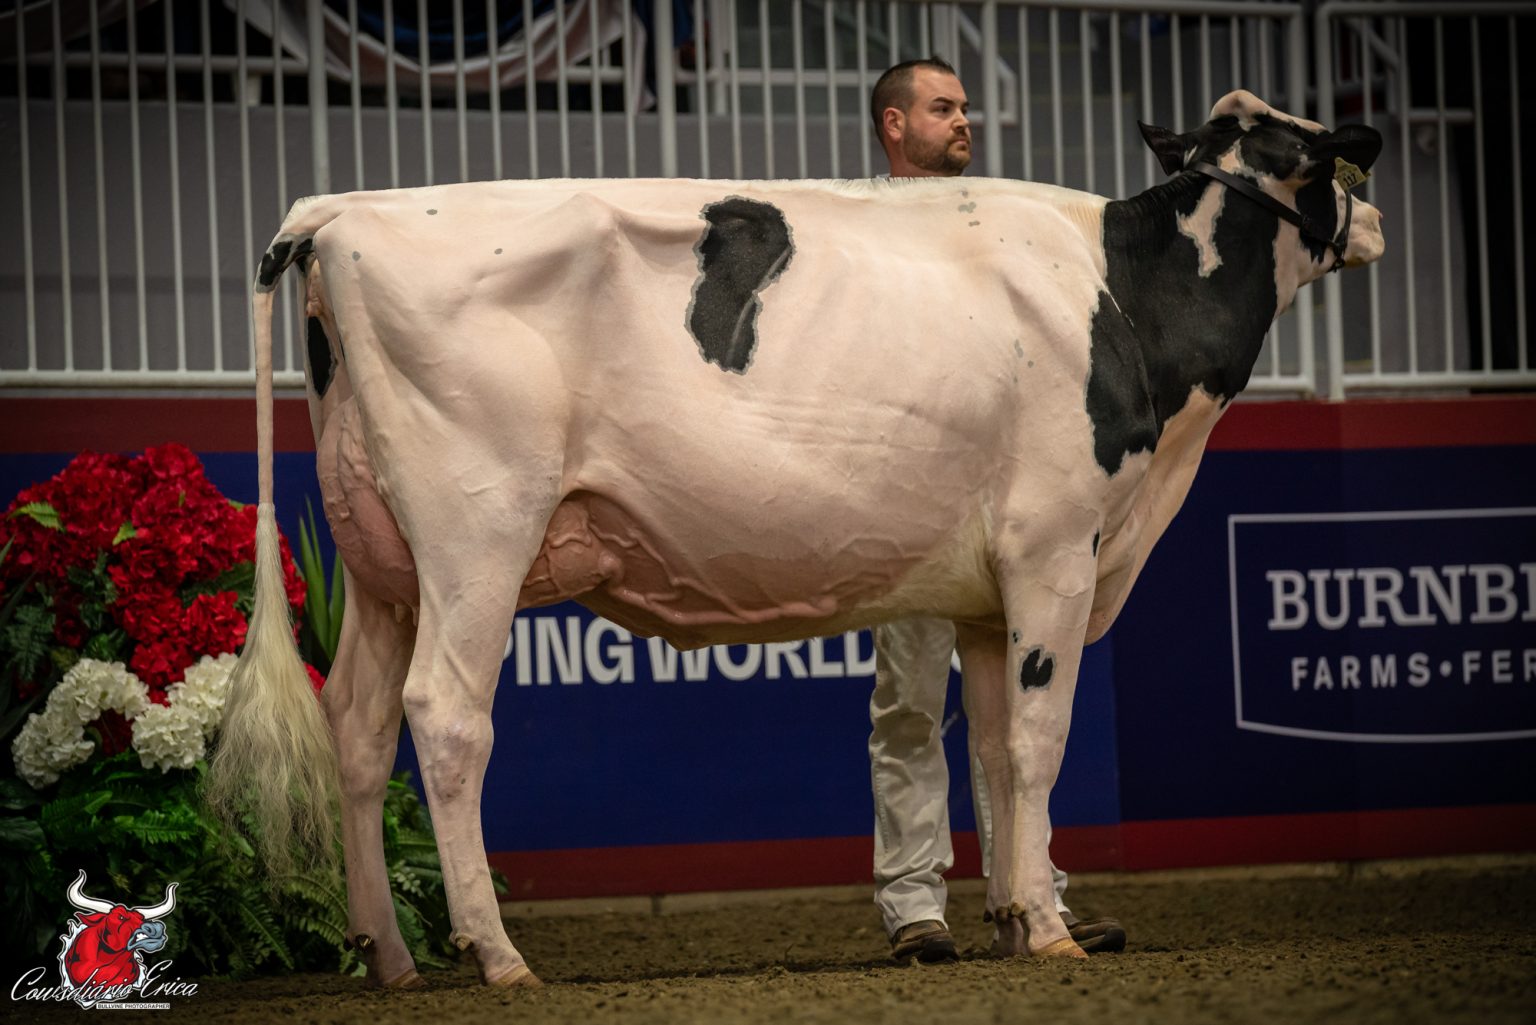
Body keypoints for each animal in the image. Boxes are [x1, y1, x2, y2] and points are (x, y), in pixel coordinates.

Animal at [206, 90, 1383, 987]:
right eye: (1321, 154)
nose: (1373, 215)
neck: (1130, 300)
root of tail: (340, 209)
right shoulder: (1057, 550)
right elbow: (1040, 745)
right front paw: (1051, 933)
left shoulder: (987, 594)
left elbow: (993, 753)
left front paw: (1015, 917)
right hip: (477, 529)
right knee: (446, 718)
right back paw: (496, 954)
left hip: (379, 558)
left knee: (357, 727)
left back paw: (391, 953)